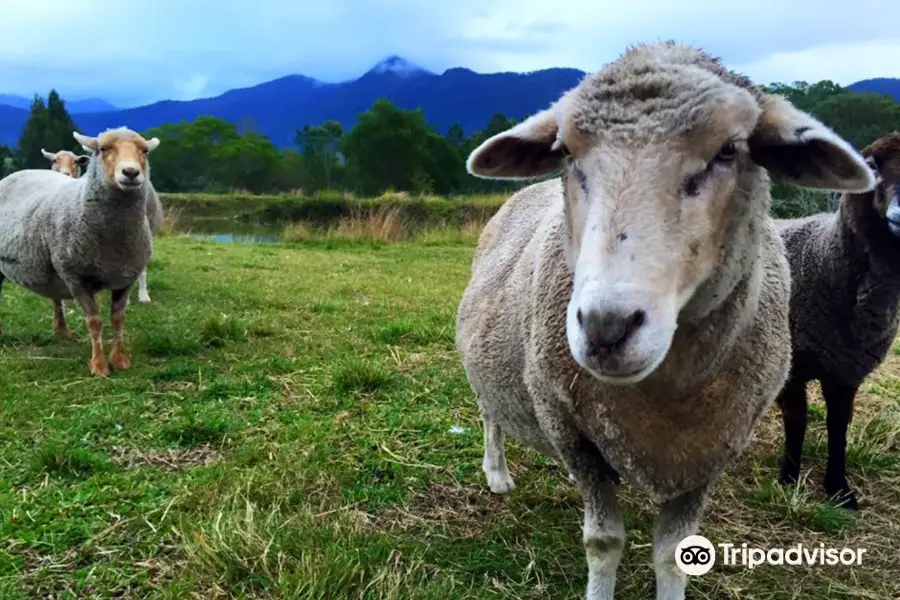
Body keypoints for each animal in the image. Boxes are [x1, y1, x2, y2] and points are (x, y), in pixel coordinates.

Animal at [0, 126, 160, 376]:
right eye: (103, 149)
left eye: (144, 151)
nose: (131, 172)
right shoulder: (75, 276)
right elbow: (94, 321)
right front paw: (99, 365)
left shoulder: (126, 276)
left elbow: (118, 319)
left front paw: (120, 360)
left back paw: (62, 330)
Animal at [454, 39, 876, 596]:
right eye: (565, 153)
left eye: (728, 151)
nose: (605, 328)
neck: (667, 394)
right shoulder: (571, 431)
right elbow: (604, 542)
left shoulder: (712, 449)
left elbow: (675, 553)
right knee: (490, 412)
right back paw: (497, 473)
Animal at [772, 132, 900, 510]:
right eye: (872, 165)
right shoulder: (793, 365)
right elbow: (797, 421)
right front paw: (789, 478)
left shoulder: (846, 370)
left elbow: (838, 427)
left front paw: (839, 489)